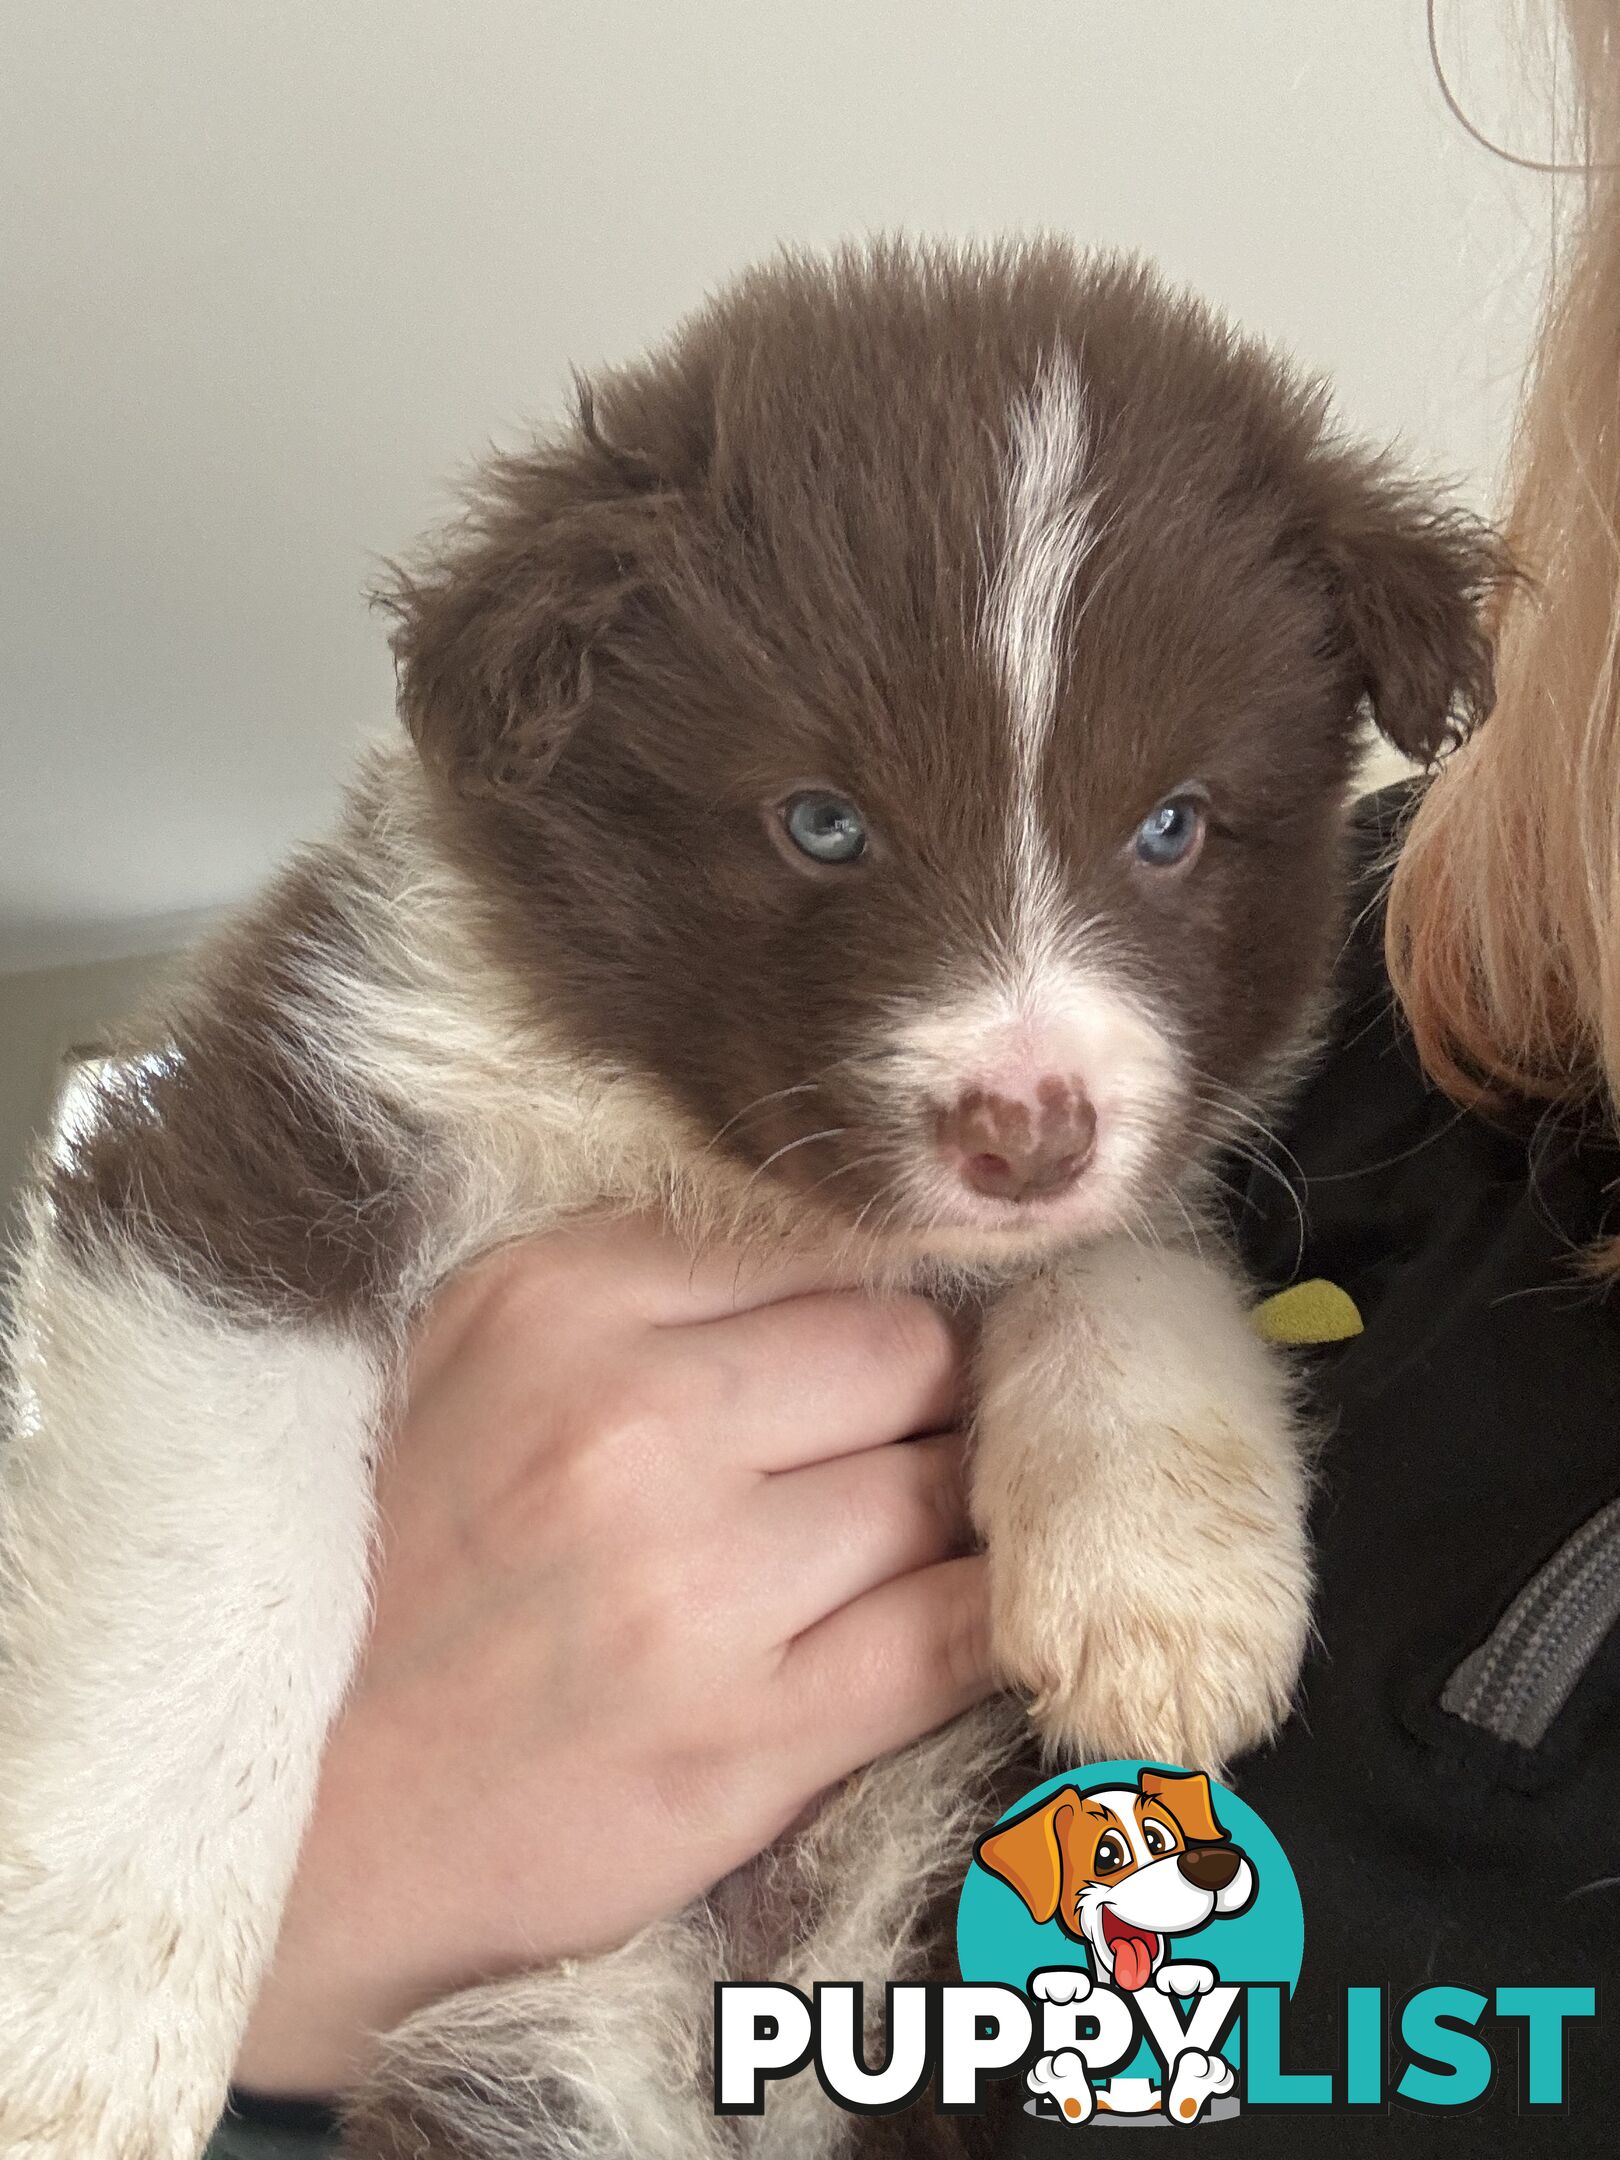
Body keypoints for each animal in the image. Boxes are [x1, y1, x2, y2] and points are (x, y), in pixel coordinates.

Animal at [0, 240, 1512, 2160]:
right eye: (822, 823)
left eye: (1171, 827)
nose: (1027, 1134)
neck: (713, 1161)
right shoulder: (271, 1117)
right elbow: (213, 1586)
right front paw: (81, 2039)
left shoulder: (1129, 1158)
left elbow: (1132, 1268)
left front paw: (1167, 1587)